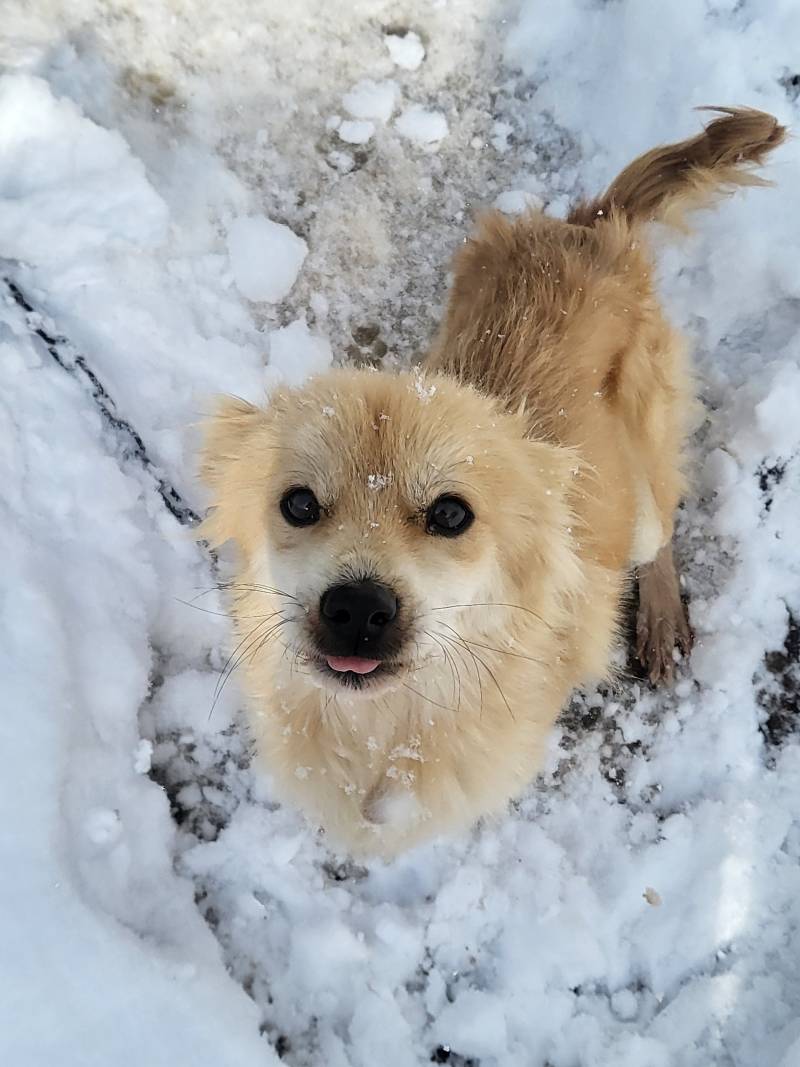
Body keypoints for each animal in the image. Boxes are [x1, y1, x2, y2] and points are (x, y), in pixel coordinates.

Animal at [201, 108, 789, 853]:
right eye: (299, 504)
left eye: (452, 514)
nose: (357, 609)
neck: (392, 726)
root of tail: (591, 228)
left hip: (642, 461)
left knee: (659, 523)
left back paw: (659, 617)